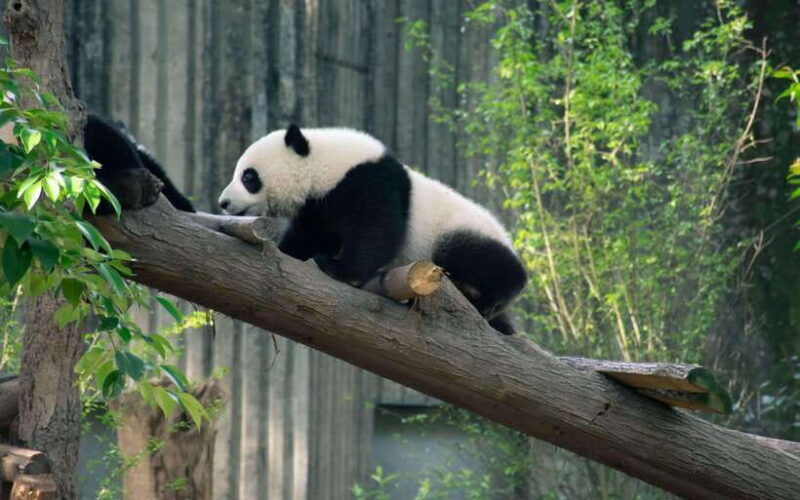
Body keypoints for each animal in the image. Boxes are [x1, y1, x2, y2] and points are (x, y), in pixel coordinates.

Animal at [218, 124, 527, 335]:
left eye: (248, 176)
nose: (223, 203)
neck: (325, 164)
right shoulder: (319, 203)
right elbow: (309, 234)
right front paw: (288, 252)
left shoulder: (369, 181)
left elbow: (378, 230)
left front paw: (340, 270)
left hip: (462, 232)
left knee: (480, 260)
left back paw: (494, 297)